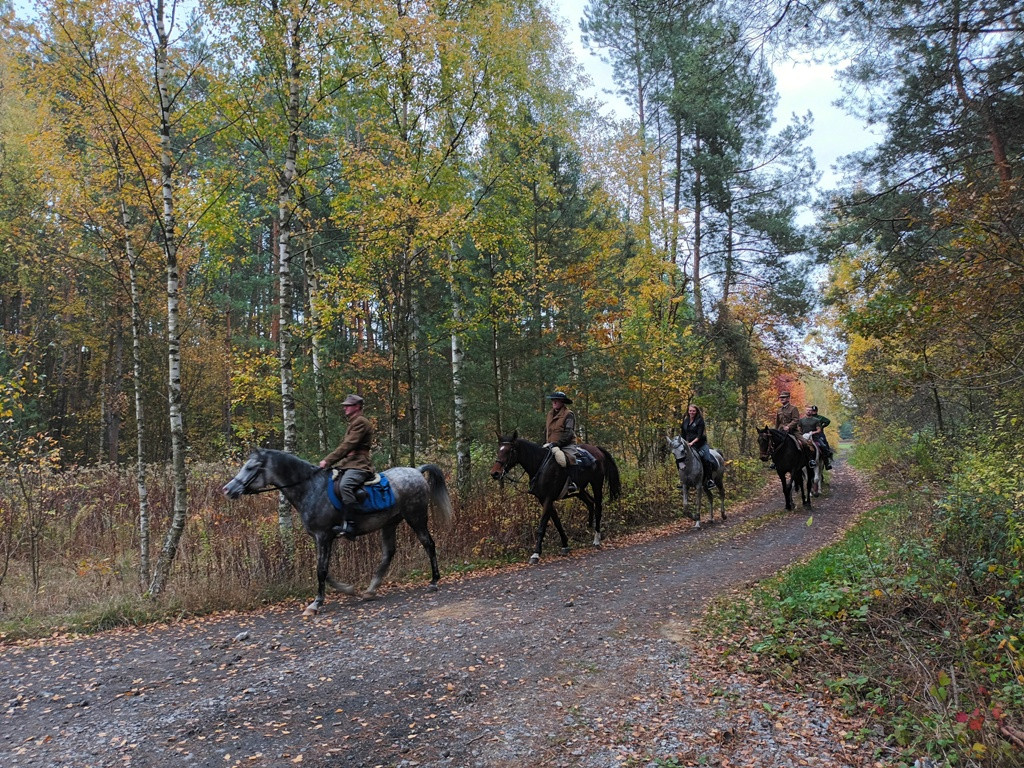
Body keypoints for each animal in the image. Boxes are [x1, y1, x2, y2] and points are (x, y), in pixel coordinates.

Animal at [224, 448, 452, 618]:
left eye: (251, 467)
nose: (227, 489)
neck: (310, 489)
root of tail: (416, 471)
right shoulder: (321, 538)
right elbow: (323, 570)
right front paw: (347, 589)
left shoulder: (324, 536)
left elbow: (321, 570)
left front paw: (316, 604)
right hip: (389, 523)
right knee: (388, 553)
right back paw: (371, 590)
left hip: (416, 518)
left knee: (428, 544)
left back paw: (434, 581)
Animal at [489, 434, 622, 565]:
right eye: (499, 450)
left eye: (510, 450)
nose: (495, 473)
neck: (540, 465)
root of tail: (597, 449)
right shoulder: (544, 500)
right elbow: (557, 523)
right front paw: (565, 545)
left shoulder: (548, 499)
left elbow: (542, 526)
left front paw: (536, 554)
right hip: (580, 491)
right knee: (590, 502)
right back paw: (589, 527)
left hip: (596, 484)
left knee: (598, 507)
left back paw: (596, 539)